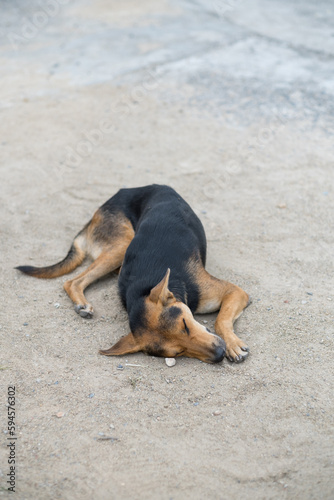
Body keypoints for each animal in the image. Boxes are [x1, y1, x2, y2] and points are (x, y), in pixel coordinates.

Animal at [16, 184, 250, 364]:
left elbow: (221, 320)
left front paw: (232, 344)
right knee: (72, 281)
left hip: (122, 246)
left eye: (185, 324)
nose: (219, 353)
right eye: (178, 352)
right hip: (120, 246)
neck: (144, 285)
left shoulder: (235, 292)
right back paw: (82, 304)